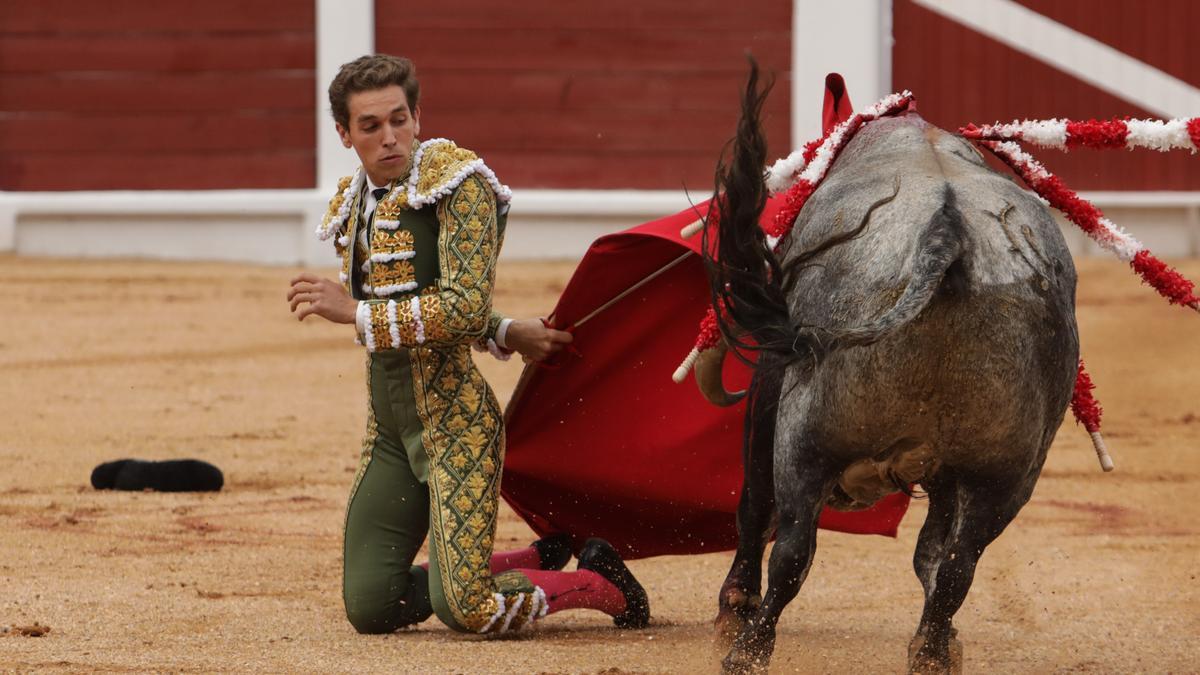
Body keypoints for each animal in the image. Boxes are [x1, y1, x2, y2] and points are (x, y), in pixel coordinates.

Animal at [700, 64, 1084, 672]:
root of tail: (948, 235)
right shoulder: (956, 470)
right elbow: (933, 555)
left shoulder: (769, 385)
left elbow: (754, 506)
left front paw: (733, 610)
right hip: (1007, 472)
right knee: (958, 565)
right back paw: (931, 653)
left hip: (807, 436)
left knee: (790, 544)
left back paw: (746, 648)